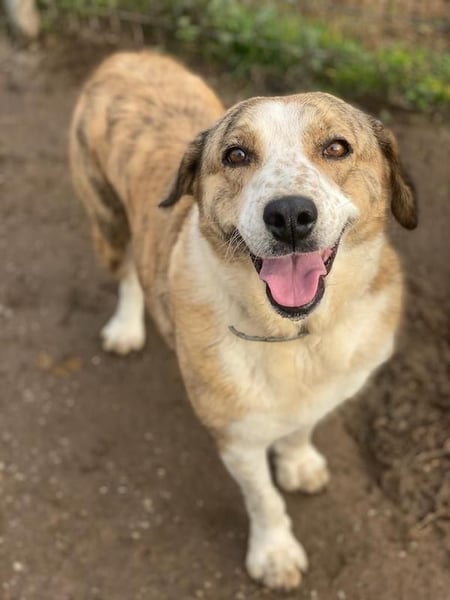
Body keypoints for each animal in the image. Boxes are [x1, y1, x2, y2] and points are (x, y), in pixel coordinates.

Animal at [70, 51, 417, 591]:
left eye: (336, 147)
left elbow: (300, 428)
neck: (297, 337)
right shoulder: (235, 437)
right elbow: (264, 498)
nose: (290, 214)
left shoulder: (323, 390)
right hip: (107, 217)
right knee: (127, 270)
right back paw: (126, 327)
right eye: (235, 155)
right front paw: (274, 554)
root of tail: (128, 55)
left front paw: (297, 461)